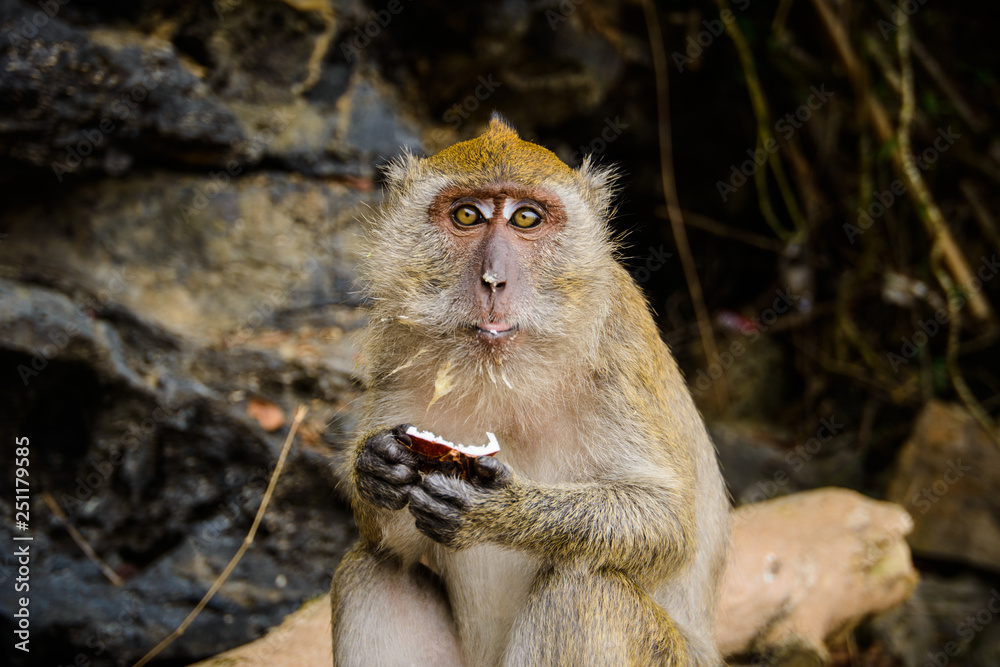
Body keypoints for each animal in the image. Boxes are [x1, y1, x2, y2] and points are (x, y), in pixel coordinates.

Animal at [331, 114, 730, 667]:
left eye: (525, 218)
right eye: (468, 214)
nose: (493, 280)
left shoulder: (617, 346)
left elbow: (666, 522)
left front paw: (499, 510)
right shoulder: (396, 349)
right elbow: (397, 547)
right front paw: (375, 468)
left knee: (584, 590)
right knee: (373, 571)